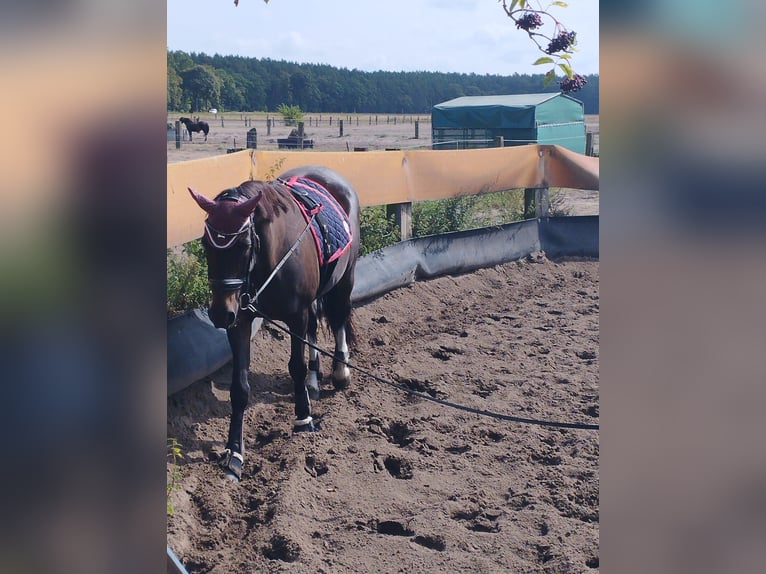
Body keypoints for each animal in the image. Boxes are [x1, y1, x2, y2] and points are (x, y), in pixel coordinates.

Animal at [189, 165, 364, 482]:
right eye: (206, 244)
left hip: (345, 279)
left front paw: (304, 418)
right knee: (314, 330)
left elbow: (295, 366)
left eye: (244, 245)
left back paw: (340, 371)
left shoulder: (295, 315)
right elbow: (239, 387)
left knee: (339, 317)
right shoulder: (240, 320)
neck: (268, 259)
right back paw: (314, 380)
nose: (219, 314)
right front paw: (234, 453)